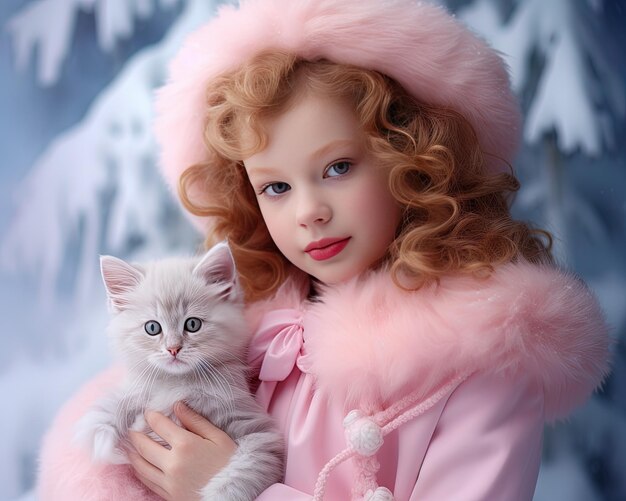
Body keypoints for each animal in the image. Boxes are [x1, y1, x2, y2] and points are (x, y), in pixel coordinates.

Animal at [73, 241, 286, 496]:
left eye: (192, 324)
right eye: (152, 328)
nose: (173, 349)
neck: (177, 384)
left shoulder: (260, 433)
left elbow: (242, 473)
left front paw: (216, 494)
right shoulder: (137, 388)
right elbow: (109, 406)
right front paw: (102, 439)